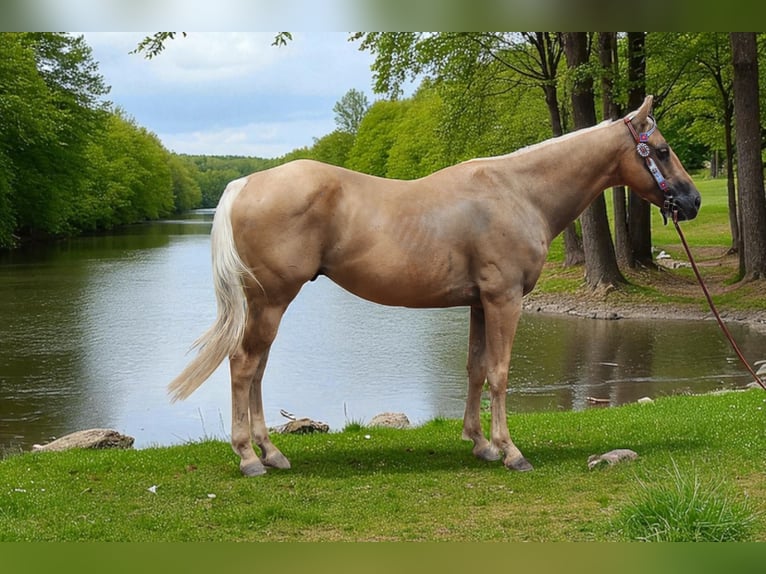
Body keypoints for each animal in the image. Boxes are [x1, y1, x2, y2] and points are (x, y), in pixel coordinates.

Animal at [169, 95, 701, 477]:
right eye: (662, 149)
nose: (692, 200)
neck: (519, 192)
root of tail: (244, 183)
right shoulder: (505, 300)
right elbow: (500, 372)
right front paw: (511, 451)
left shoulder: (480, 304)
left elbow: (475, 369)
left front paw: (481, 444)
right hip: (270, 301)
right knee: (245, 366)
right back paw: (251, 458)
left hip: (268, 304)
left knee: (256, 370)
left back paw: (271, 452)